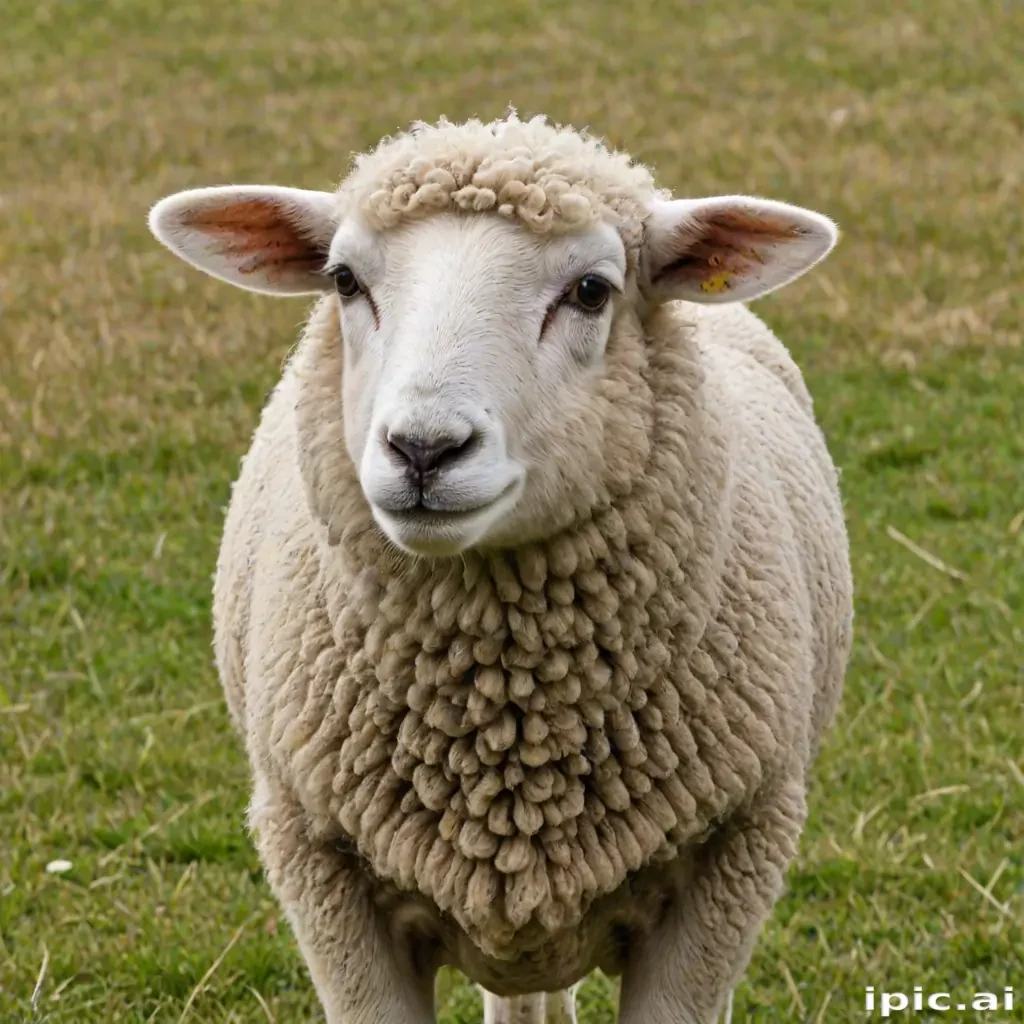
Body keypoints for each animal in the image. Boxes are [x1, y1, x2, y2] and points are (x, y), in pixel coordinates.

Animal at [148, 113, 853, 1024]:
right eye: (343, 280)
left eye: (591, 291)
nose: (423, 449)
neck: (505, 718)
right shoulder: (319, 866)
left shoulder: (733, 858)